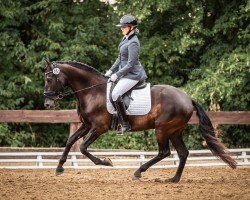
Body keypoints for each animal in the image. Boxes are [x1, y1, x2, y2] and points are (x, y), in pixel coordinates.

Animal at [43, 59, 236, 183]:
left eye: (49, 78)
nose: (47, 104)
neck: (92, 92)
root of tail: (188, 98)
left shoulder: (99, 128)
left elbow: (83, 147)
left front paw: (106, 162)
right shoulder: (86, 125)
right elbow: (70, 141)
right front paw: (59, 168)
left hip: (162, 129)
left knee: (164, 152)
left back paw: (139, 171)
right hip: (175, 131)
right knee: (182, 153)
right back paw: (173, 179)